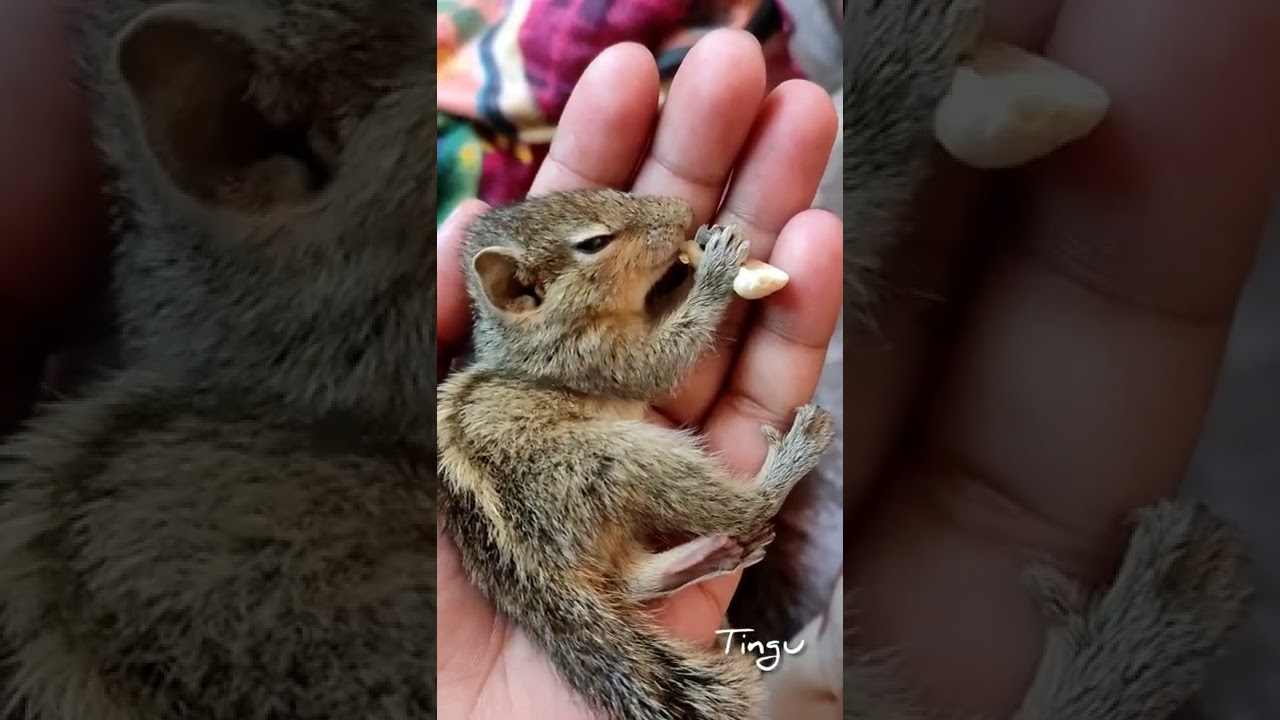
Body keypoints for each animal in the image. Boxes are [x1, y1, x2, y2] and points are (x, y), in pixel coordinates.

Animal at [435, 188, 838, 720]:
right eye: (594, 243)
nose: (683, 214)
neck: (534, 337)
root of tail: (535, 567)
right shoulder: (595, 357)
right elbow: (660, 362)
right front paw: (715, 272)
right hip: (609, 462)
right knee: (744, 509)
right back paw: (791, 456)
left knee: (626, 581)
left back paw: (708, 556)